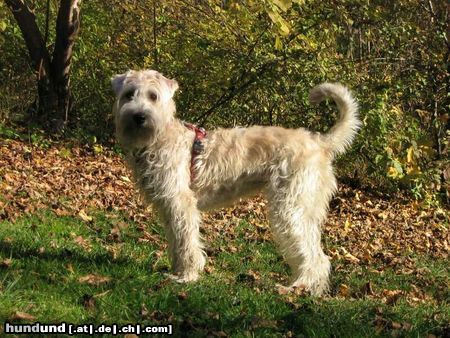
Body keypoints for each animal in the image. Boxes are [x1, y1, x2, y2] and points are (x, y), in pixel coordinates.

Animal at [110, 70, 360, 294]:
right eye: (129, 94)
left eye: (153, 96)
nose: (139, 116)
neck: (159, 138)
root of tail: (321, 142)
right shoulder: (168, 207)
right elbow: (176, 241)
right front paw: (177, 270)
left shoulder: (181, 204)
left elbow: (187, 242)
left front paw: (187, 275)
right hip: (306, 210)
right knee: (318, 254)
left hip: (289, 208)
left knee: (312, 255)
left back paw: (297, 288)